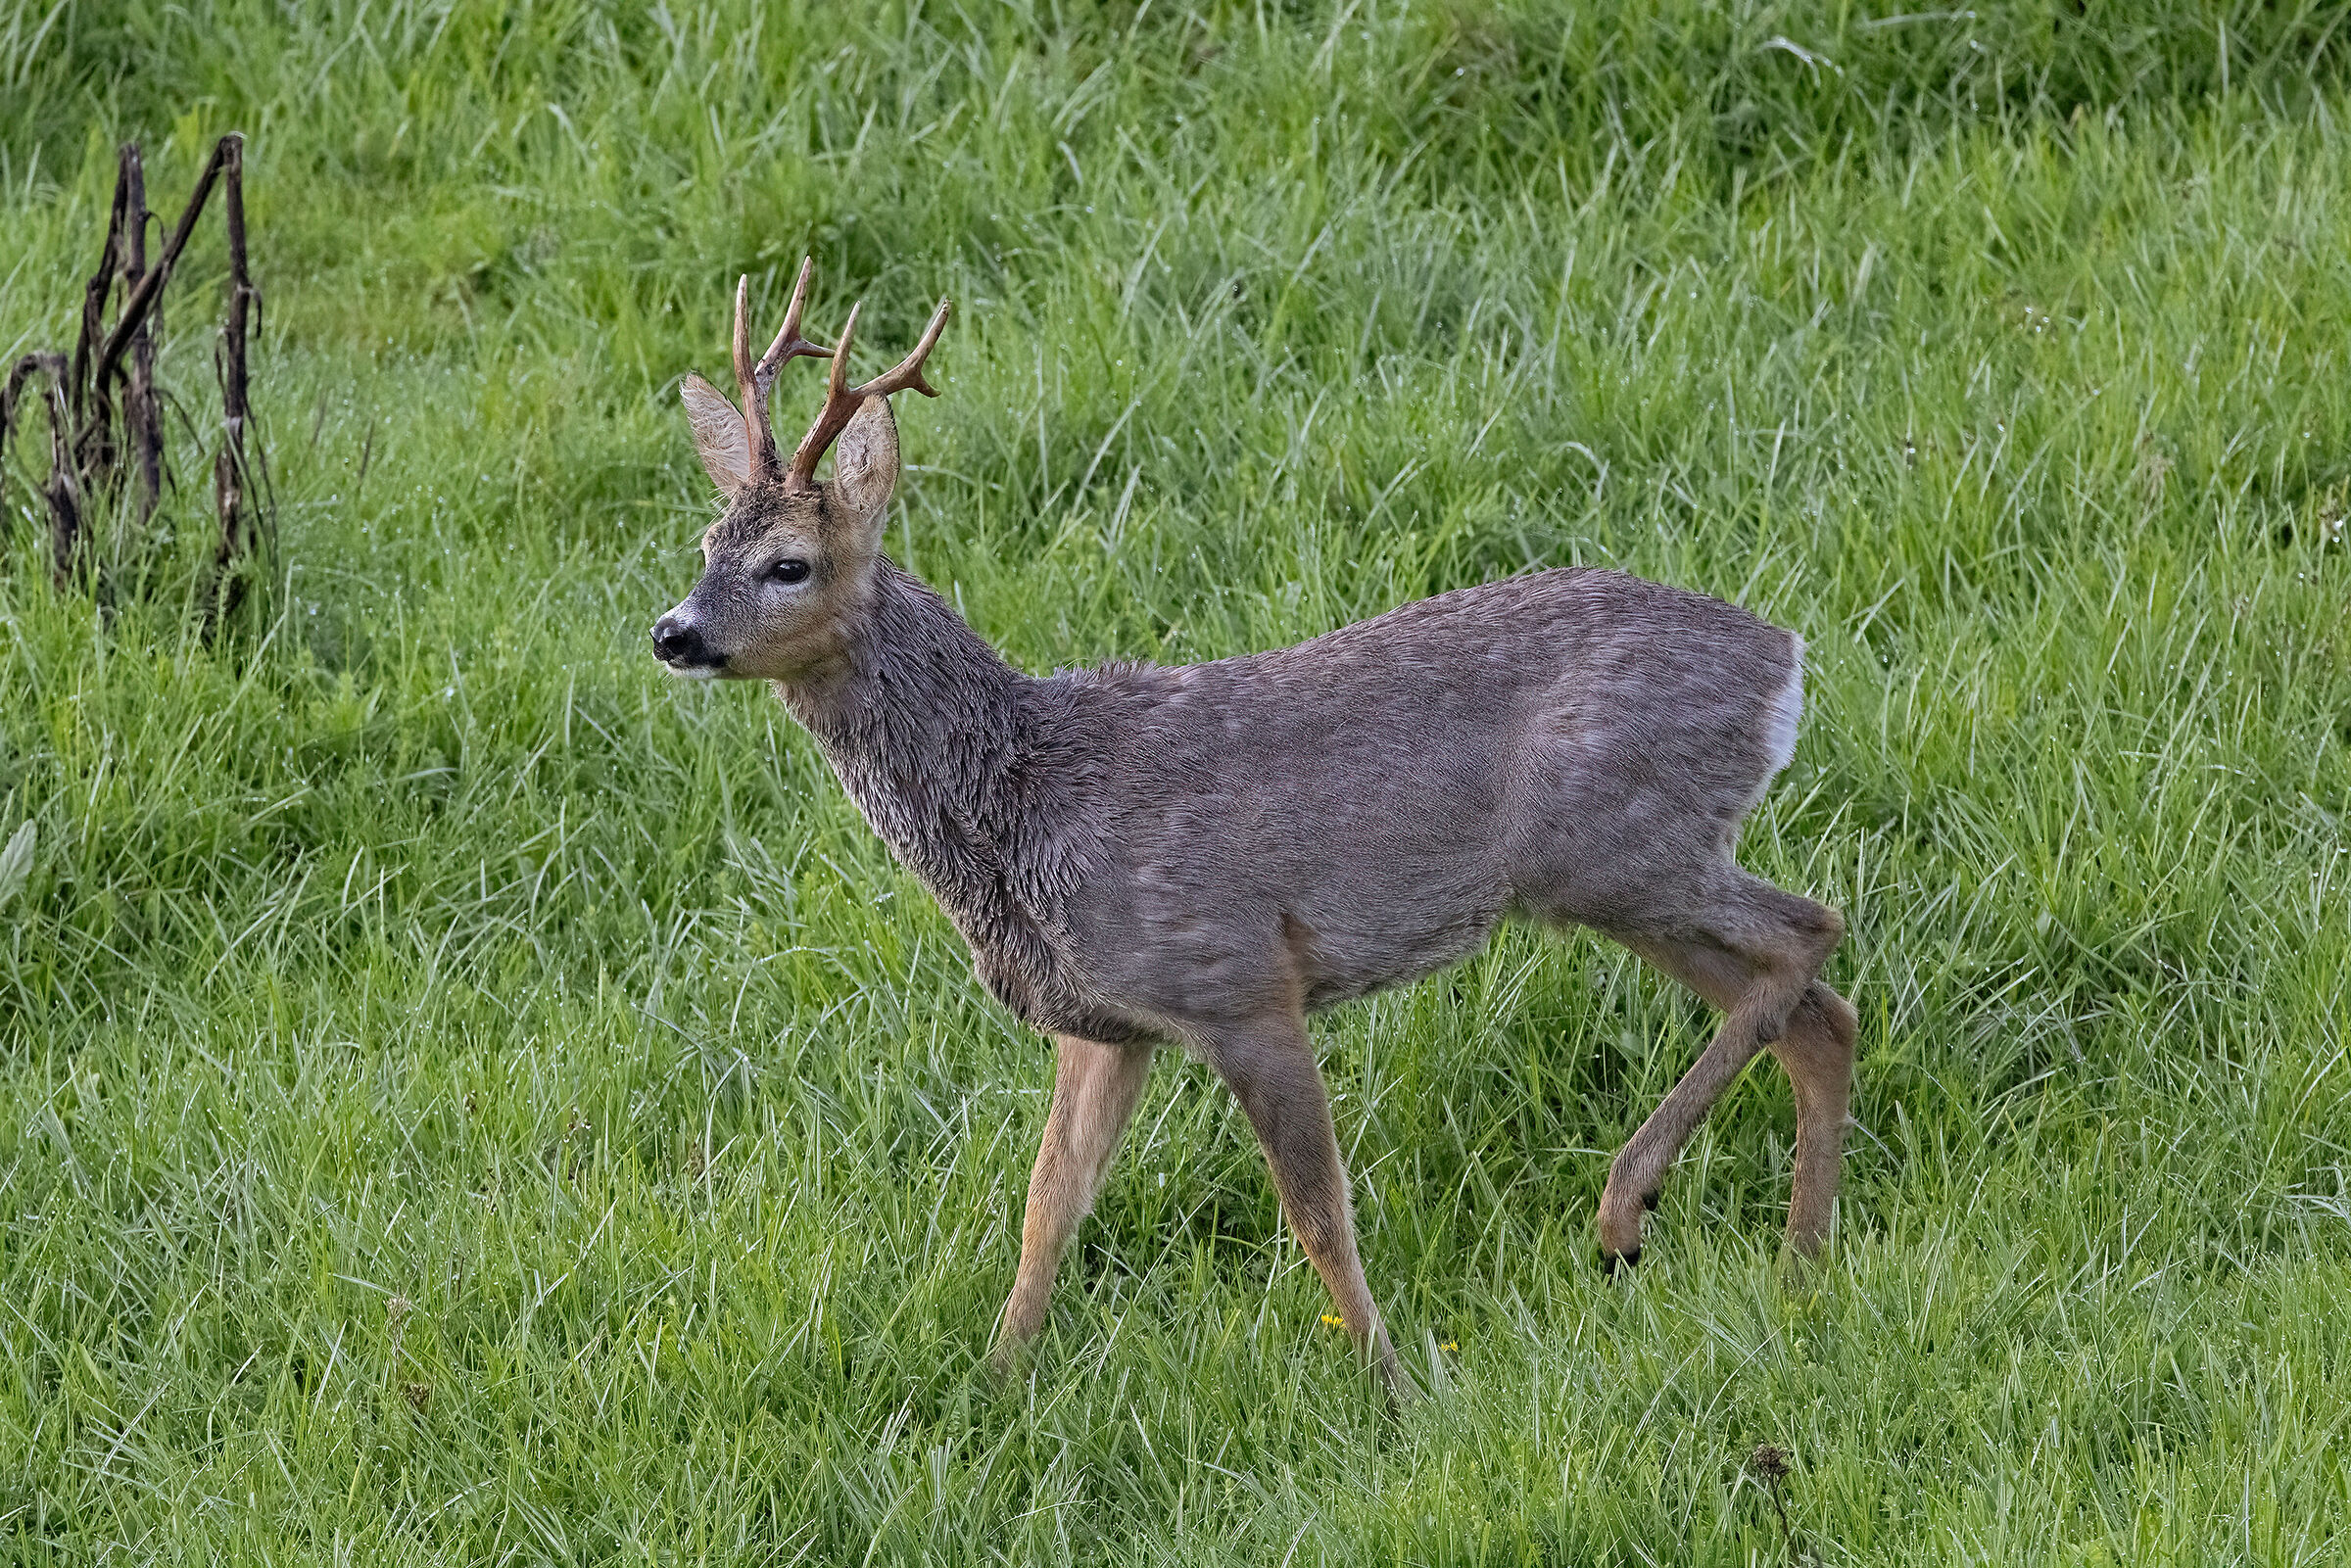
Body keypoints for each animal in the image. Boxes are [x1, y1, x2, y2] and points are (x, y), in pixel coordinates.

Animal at [651, 261, 1859, 1392]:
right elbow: (1048, 1206)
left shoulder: (1239, 980)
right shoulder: (1106, 1022)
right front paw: (995, 1382)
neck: (1031, 801)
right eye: (707, 539)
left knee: (1811, 933)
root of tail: (1785, 662)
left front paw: (1395, 1390)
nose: (672, 631)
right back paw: (1799, 1270)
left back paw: (1627, 1211)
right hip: (1626, 868)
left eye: (789, 563)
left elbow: (1317, 1212)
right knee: (1814, 1010)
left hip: (1615, 847)